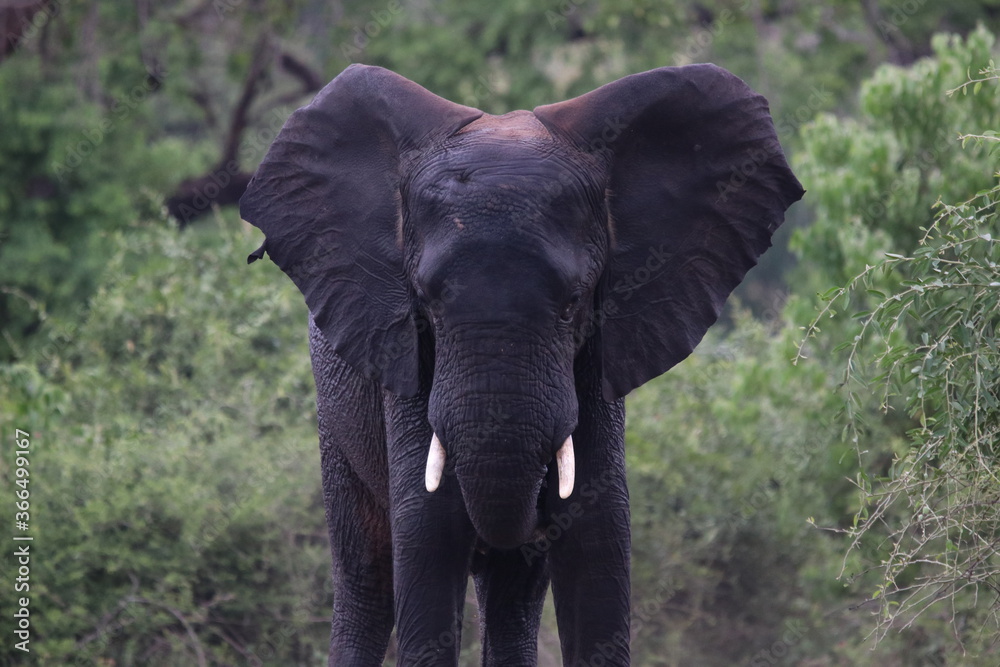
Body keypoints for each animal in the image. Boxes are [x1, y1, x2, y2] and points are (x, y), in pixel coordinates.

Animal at [240, 63, 803, 666]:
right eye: (426, 301)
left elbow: (597, 534)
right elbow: (427, 532)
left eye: (573, 303)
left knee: (513, 589)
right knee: (367, 579)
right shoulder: (406, 359)